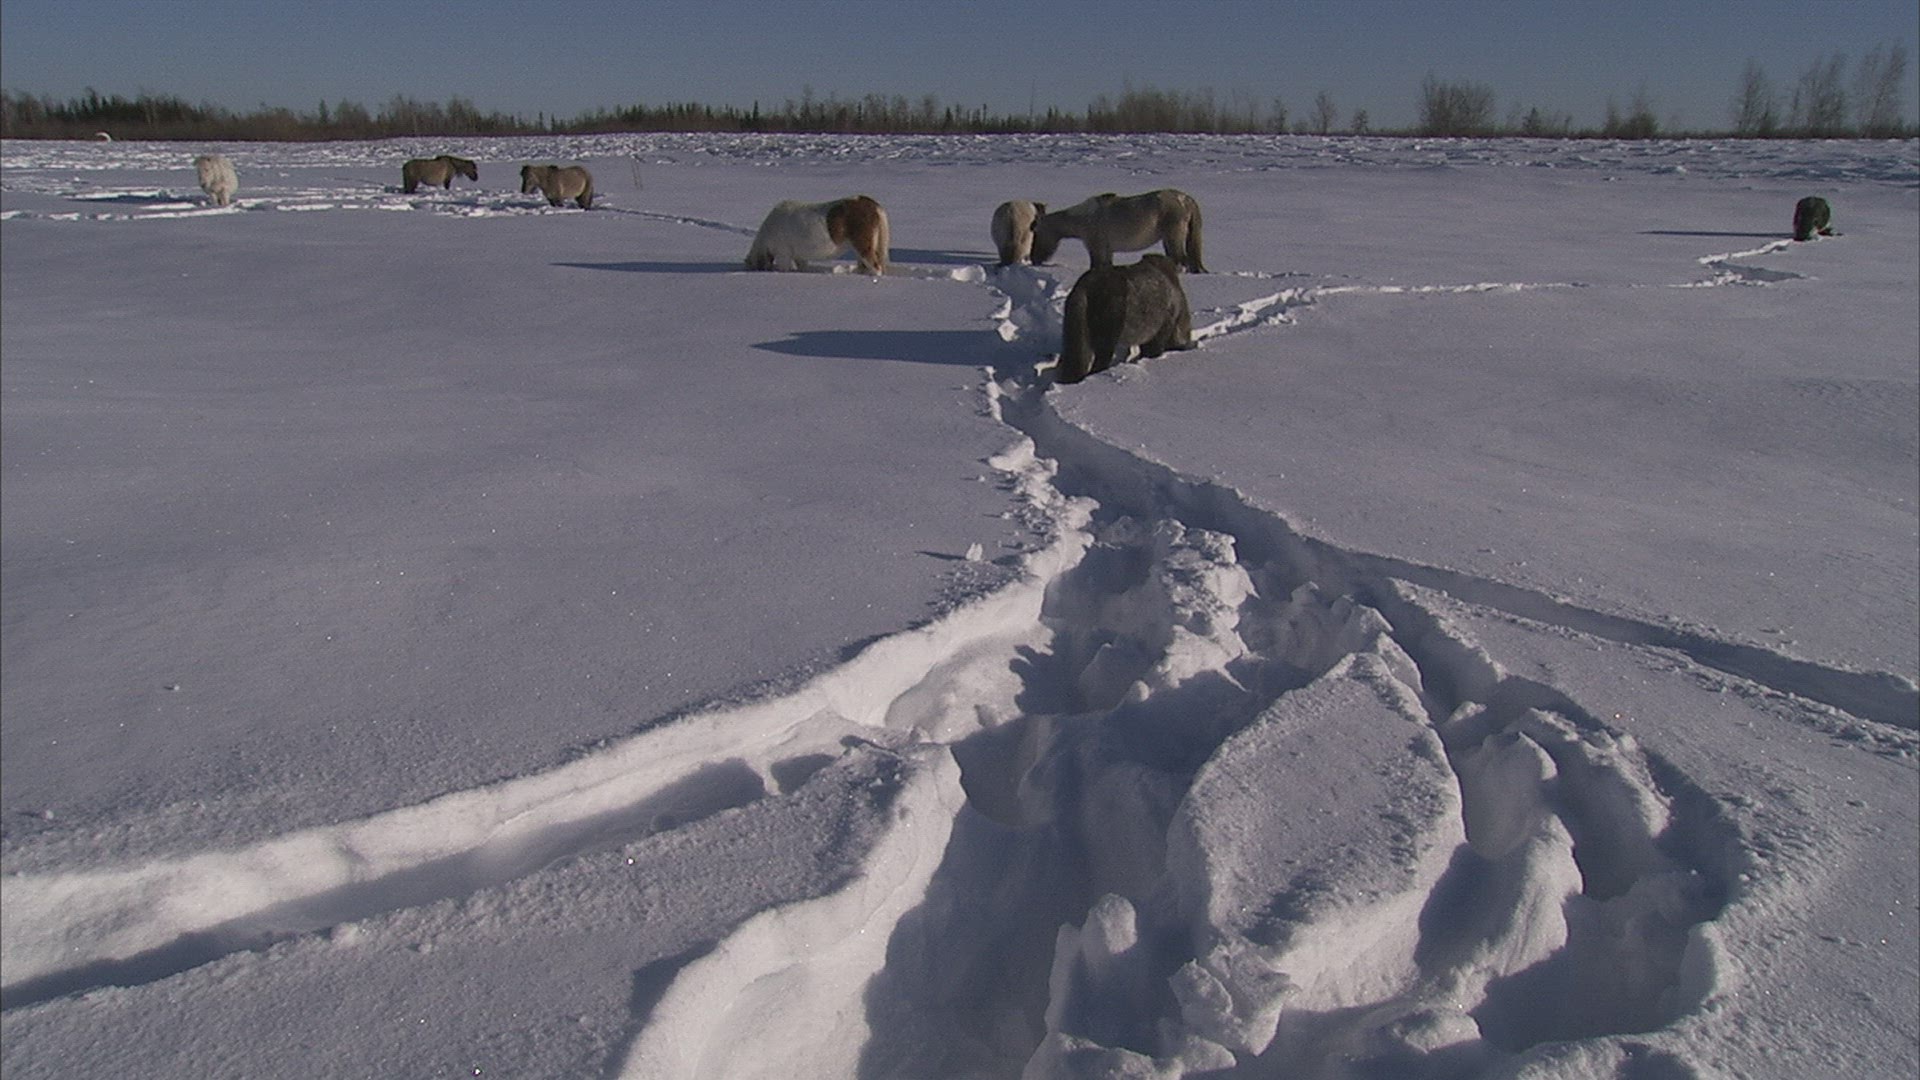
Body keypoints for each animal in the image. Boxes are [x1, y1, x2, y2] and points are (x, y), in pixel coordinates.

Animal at [1031, 189, 1206, 273]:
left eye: (1036, 232)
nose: (1033, 259)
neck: (1083, 218)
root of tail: (1186, 199)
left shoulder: (1096, 248)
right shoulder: (1107, 250)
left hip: (1172, 237)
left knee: (1181, 259)